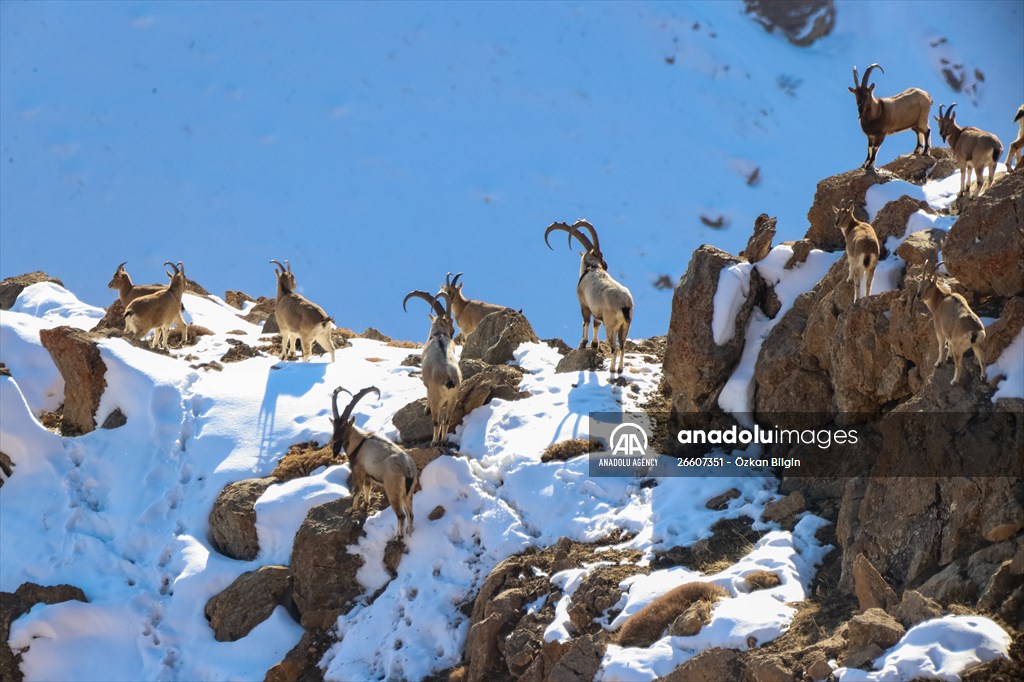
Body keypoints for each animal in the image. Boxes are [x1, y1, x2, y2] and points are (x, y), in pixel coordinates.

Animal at [331, 386, 417, 539]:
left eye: (345, 426)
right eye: (334, 426)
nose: (334, 447)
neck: (359, 442)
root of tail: (408, 469)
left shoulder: (359, 472)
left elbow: (357, 490)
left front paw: (351, 510)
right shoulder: (369, 476)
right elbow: (367, 488)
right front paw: (365, 505)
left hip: (393, 492)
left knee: (401, 515)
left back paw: (398, 536)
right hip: (408, 494)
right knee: (410, 515)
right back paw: (409, 534)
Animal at [403, 290, 462, 446]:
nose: (453, 332)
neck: (438, 336)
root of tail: (449, 380)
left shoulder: (428, 386)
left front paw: (425, 408)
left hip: (438, 399)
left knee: (436, 421)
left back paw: (434, 442)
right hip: (453, 400)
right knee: (446, 420)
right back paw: (443, 440)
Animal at [544, 219, 633, 373]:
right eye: (601, 255)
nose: (606, 265)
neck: (592, 268)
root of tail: (625, 305)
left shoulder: (584, 304)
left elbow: (585, 322)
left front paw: (583, 344)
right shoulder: (597, 312)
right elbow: (595, 325)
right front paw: (594, 344)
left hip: (611, 326)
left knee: (614, 348)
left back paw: (612, 370)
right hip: (625, 327)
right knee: (622, 346)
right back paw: (620, 369)